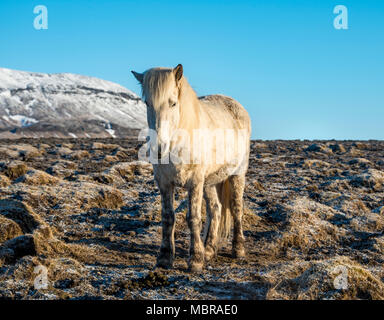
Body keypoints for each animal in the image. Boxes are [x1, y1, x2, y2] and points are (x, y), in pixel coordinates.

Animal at [132, 64, 252, 270]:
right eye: (147, 103)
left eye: (173, 103)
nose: (159, 149)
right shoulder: (164, 183)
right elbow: (168, 217)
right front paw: (165, 257)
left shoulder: (195, 182)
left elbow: (193, 217)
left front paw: (195, 259)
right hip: (210, 182)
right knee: (216, 209)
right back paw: (209, 250)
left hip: (237, 174)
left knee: (236, 209)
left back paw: (238, 250)